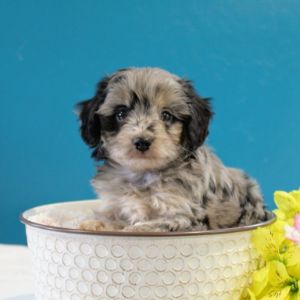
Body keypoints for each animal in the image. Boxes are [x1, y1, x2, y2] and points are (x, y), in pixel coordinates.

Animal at [76, 68, 266, 232]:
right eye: (121, 114)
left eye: (166, 115)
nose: (142, 142)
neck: (142, 175)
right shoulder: (118, 204)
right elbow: (113, 217)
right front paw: (94, 224)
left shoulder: (185, 216)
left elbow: (149, 226)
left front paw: (130, 230)